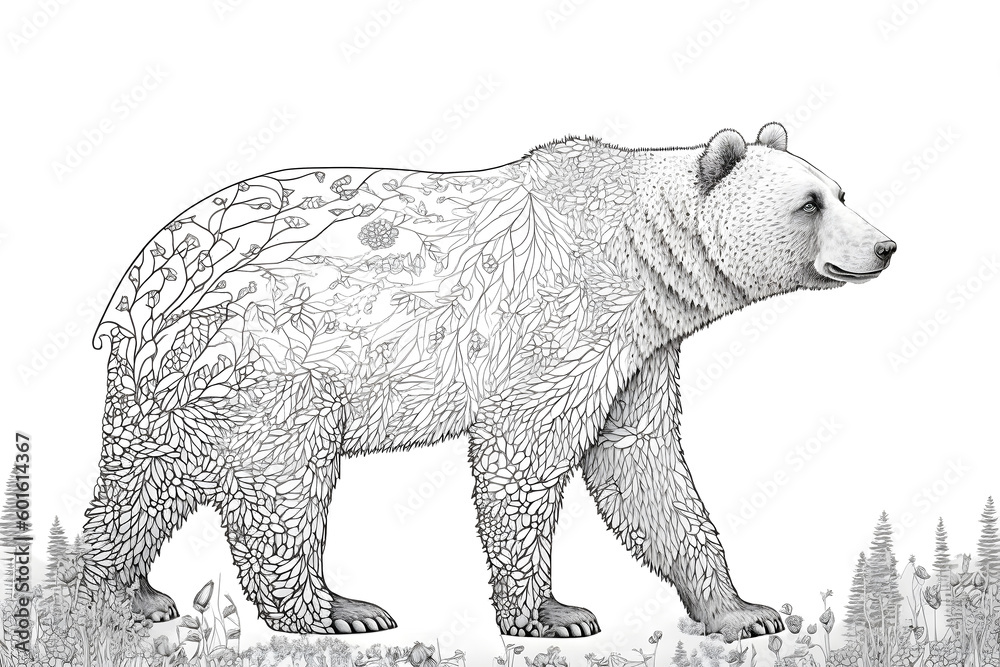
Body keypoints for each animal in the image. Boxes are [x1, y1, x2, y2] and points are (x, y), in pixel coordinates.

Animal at [83, 122, 896, 640]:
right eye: (810, 203)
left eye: (841, 189)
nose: (886, 246)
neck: (639, 253)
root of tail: (140, 281)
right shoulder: (563, 320)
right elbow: (525, 459)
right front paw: (553, 614)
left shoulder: (639, 352)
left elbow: (644, 465)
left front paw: (742, 610)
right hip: (270, 362)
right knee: (283, 489)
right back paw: (336, 609)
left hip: (168, 381)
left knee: (140, 481)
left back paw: (124, 592)